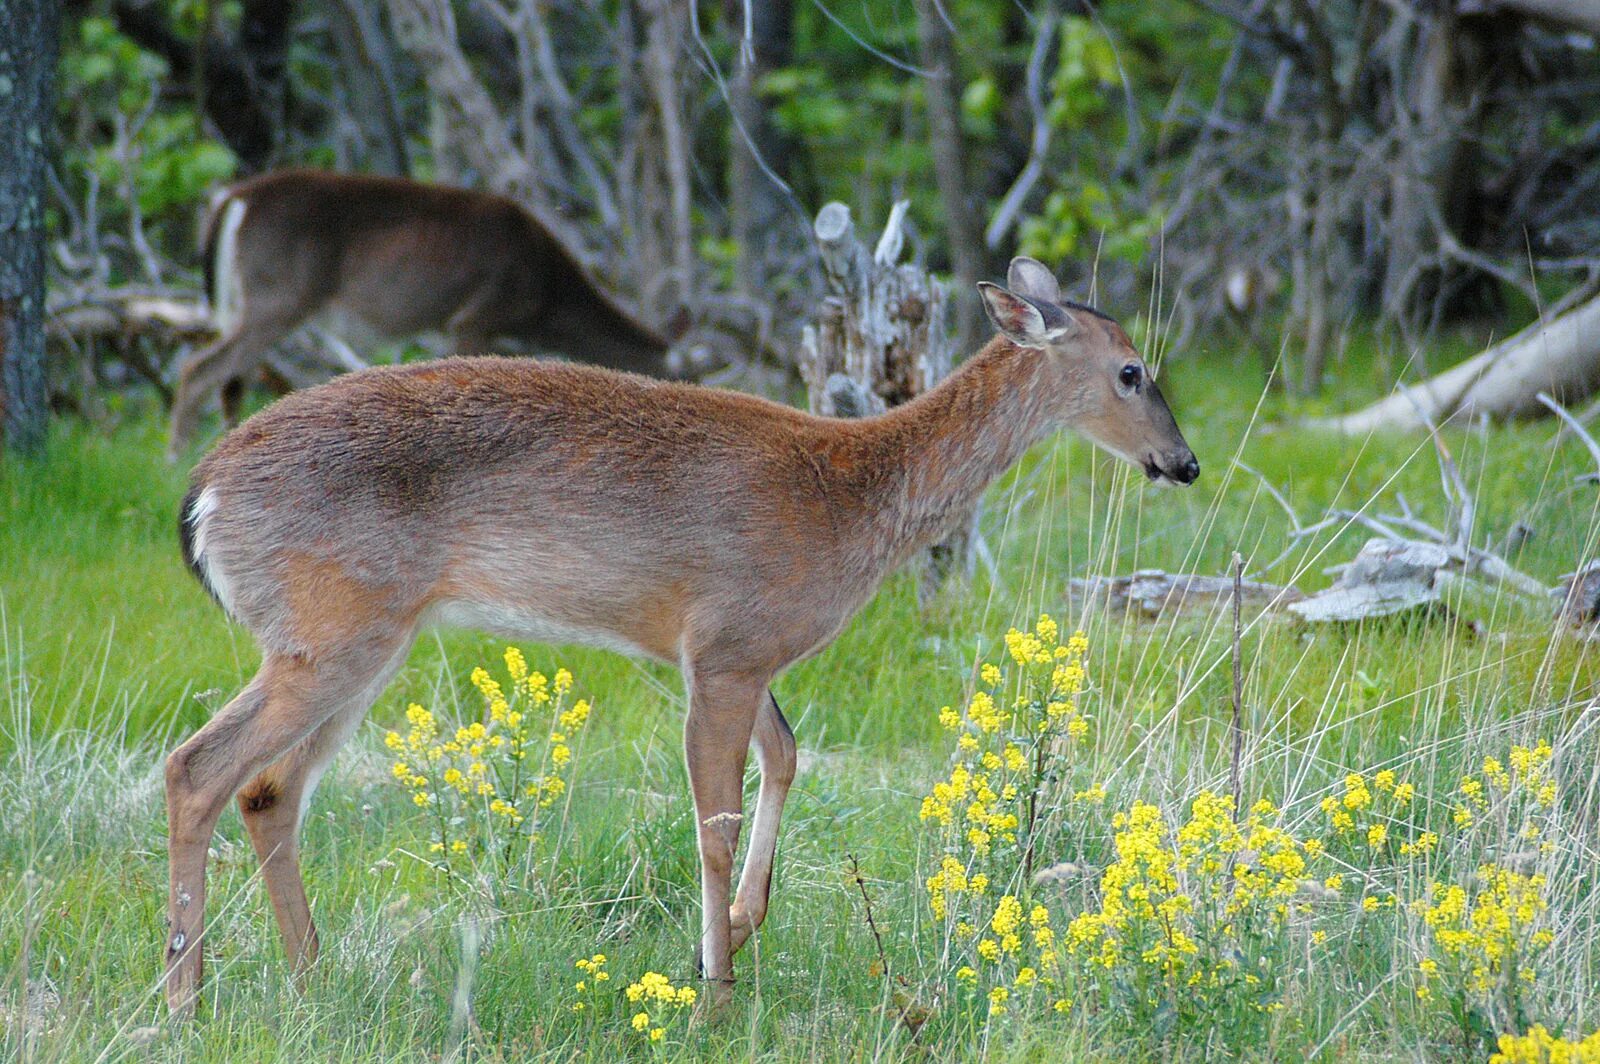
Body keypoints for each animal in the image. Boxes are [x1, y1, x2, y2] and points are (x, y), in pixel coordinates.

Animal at [162, 257, 1196, 1011]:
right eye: (1131, 370)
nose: (1182, 462)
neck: (853, 500)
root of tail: (201, 494)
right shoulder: (729, 645)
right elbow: (714, 823)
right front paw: (715, 993)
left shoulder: (737, 651)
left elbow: (786, 759)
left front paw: (734, 931)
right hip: (334, 631)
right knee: (197, 767)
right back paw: (184, 995)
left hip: (358, 642)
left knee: (267, 791)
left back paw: (310, 977)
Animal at [168, 168, 681, 457]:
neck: (545, 295)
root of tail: (232, 198)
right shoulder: (476, 316)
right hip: (278, 296)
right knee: (201, 368)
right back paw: (177, 460)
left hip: (245, 299)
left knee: (231, 378)